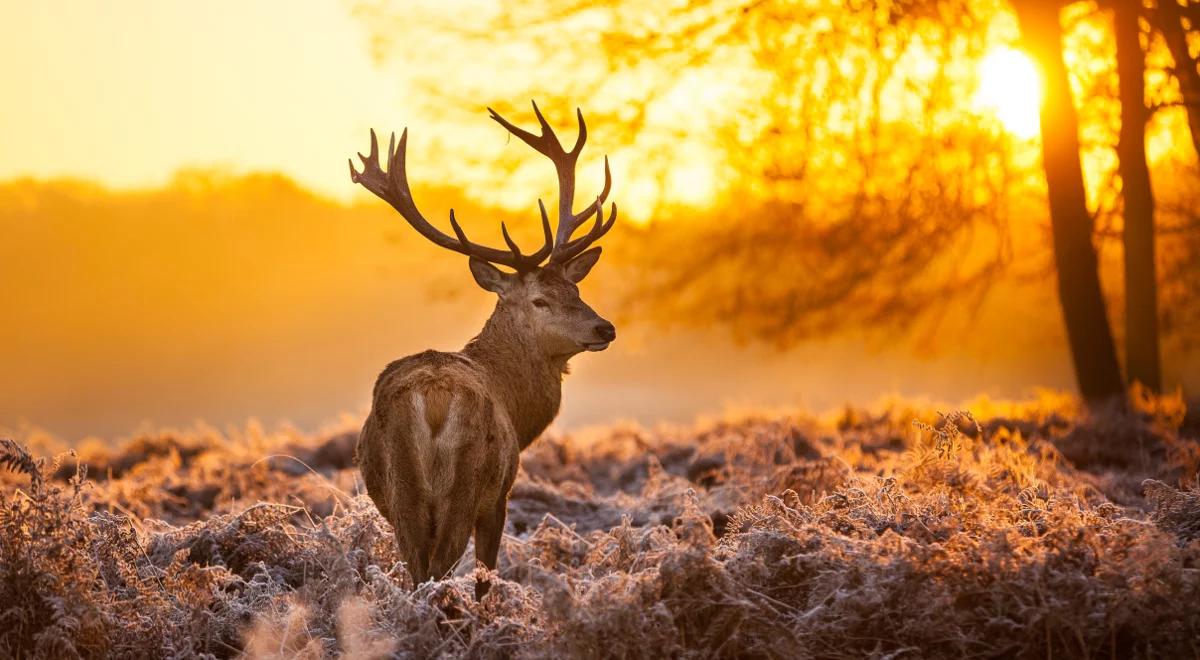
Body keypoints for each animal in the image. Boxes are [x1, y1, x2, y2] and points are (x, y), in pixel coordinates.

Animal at [345, 102, 609, 600]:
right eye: (540, 300)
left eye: (575, 289)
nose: (605, 327)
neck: (518, 409)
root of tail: (431, 400)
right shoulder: (500, 495)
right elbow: (487, 574)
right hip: (465, 484)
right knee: (440, 568)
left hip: (401, 490)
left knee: (418, 569)